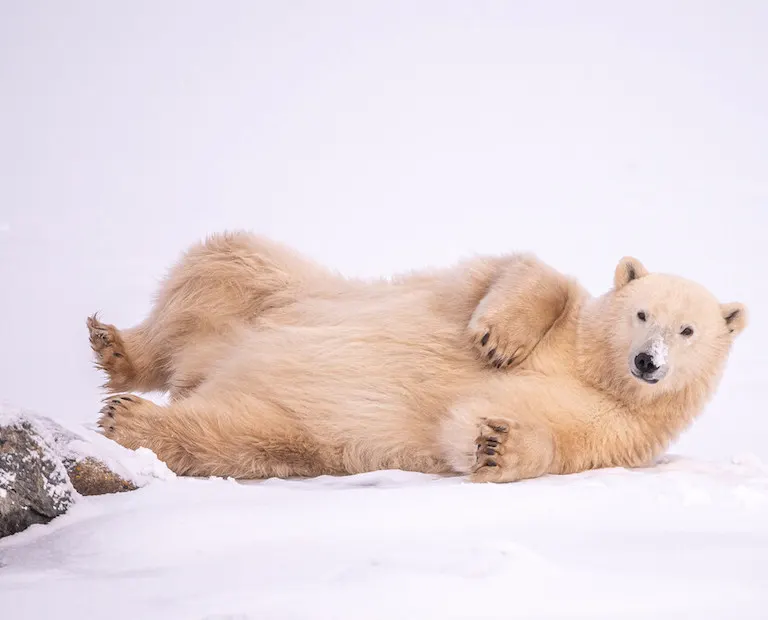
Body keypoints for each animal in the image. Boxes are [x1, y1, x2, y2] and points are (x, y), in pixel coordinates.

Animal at [88, 231, 747, 483]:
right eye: (642, 315)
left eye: (688, 330)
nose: (648, 362)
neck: (597, 370)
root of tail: (206, 367)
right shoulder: (555, 319)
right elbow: (527, 273)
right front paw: (499, 341)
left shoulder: (616, 429)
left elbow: (540, 439)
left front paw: (496, 444)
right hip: (286, 289)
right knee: (220, 262)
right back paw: (119, 350)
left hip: (292, 430)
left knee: (223, 435)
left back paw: (131, 418)